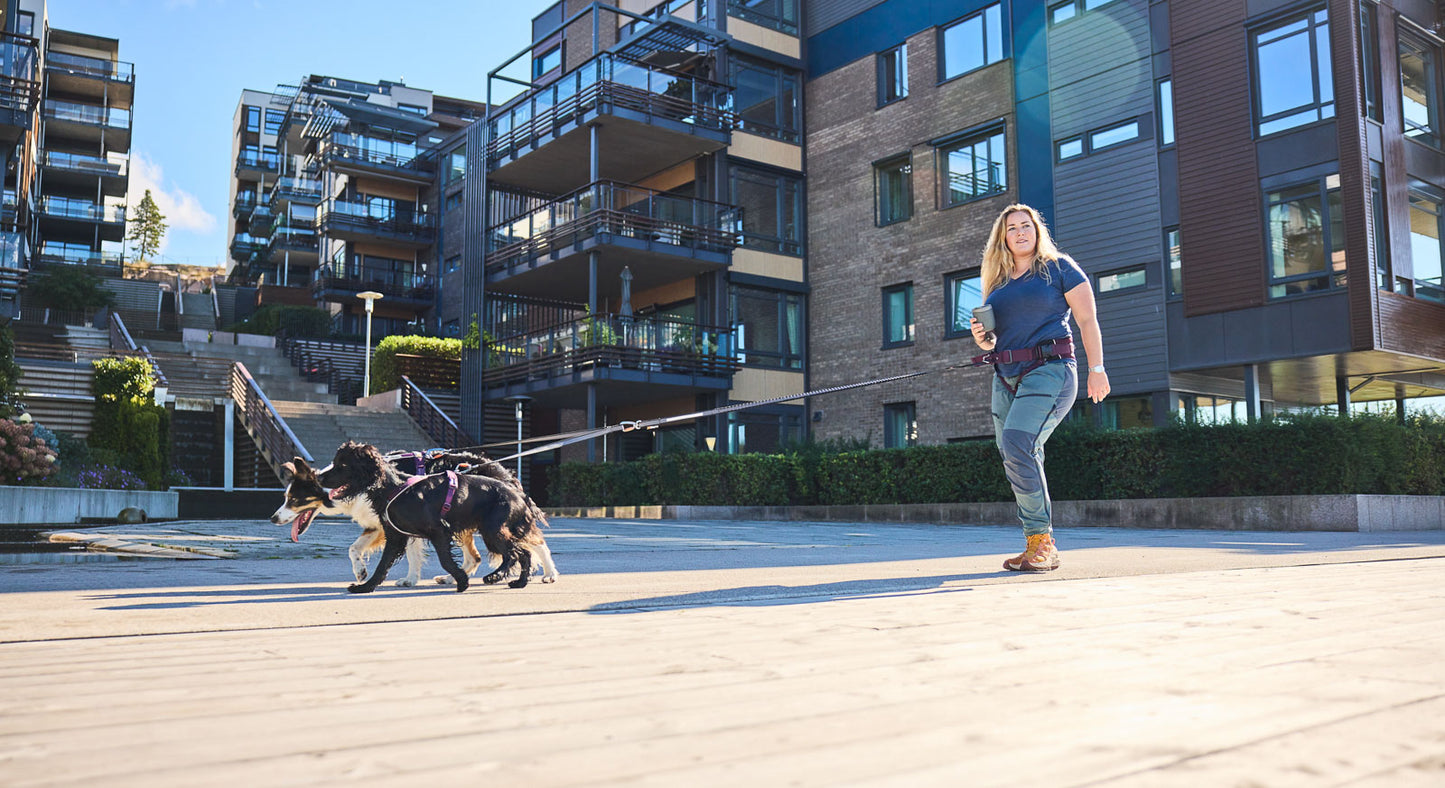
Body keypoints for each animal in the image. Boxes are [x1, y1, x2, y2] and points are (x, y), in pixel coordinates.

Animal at [319, 439, 549, 592]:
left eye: (343, 465)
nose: (319, 477)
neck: (393, 486)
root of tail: (517, 491)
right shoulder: (395, 535)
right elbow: (381, 564)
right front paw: (365, 586)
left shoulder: (438, 531)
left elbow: (444, 559)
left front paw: (461, 582)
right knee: (519, 553)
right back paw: (516, 581)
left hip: (493, 530)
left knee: (522, 551)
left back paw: (534, 576)